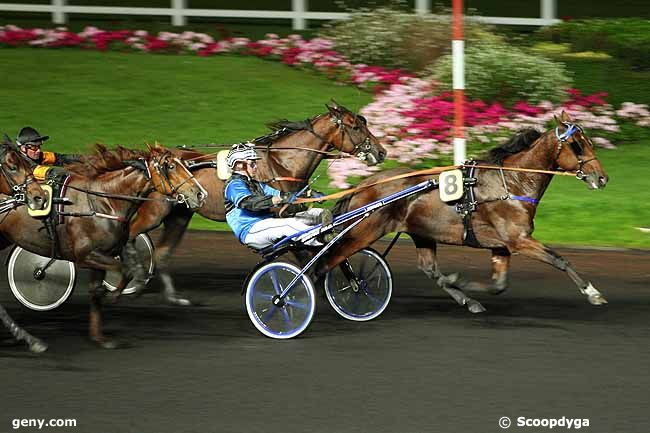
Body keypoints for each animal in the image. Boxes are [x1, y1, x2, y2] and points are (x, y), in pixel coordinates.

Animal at [0, 143, 205, 350]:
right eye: (170, 166)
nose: (200, 193)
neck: (103, 202)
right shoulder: (87, 255)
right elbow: (123, 270)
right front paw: (113, 295)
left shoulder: (102, 255)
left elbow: (101, 287)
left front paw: (100, 337)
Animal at [123, 103, 384, 304]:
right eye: (355, 126)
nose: (381, 152)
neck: (282, 163)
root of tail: (149, 164)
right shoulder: (280, 217)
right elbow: (304, 253)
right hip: (155, 212)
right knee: (130, 235)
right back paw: (132, 279)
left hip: (179, 215)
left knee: (162, 253)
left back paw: (171, 296)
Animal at [324, 112, 608, 310]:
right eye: (578, 145)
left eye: (589, 142)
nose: (602, 178)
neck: (512, 182)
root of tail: (363, 185)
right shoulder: (518, 240)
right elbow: (560, 260)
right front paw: (593, 293)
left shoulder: (500, 246)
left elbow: (498, 285)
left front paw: (458, 283)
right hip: (364, 231)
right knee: (331, 259)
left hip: (421, 232)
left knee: (429, 269)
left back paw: (466, 299)